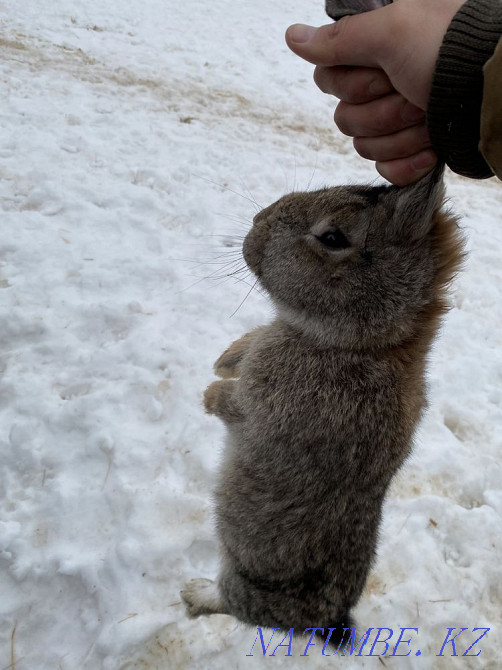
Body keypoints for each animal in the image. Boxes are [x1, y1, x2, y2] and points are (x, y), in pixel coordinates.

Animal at [181, 166, 464, 648]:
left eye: (332, 237)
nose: (256, 222)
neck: (368, 344)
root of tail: (328, 619)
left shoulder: (265, 405)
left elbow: (234, 407)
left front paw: (208, 394)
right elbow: (246, 349)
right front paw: (223, 361)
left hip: (248, 582)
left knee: (232, 602)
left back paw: (195, 593)